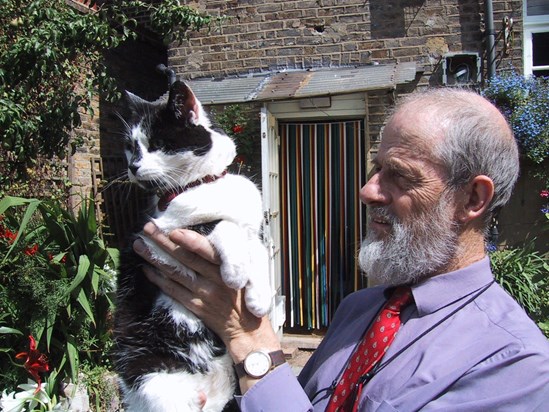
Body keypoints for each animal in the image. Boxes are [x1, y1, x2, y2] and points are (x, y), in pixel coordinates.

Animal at [113, 75, 272, 410]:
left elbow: (258, 250)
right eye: (131, 147)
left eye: (156, 144)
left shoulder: (255, 230)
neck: (201, 184)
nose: (133, 166)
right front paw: (235, 272)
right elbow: (219, 224)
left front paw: (258, 299)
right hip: (155, 383)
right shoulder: (152, 239)